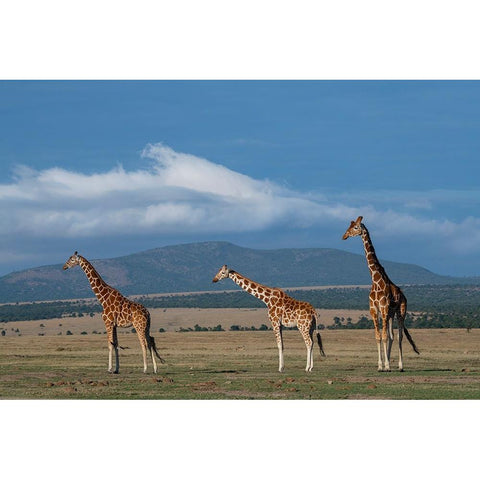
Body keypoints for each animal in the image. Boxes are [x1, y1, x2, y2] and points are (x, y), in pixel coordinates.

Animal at [342, 217, 420, 372]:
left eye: (356, 227)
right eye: (349, 226)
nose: (344, 236)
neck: (375, 279)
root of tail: (404, 296)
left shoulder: (383, 308)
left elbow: (384, 336)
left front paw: (387, 365)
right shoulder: (374, 310)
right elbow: (379, 336)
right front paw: (380, 365)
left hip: (400, 312)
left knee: (399, 336)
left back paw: (400, 366)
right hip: (390, 315)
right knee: (391, 335)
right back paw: (388, 363)